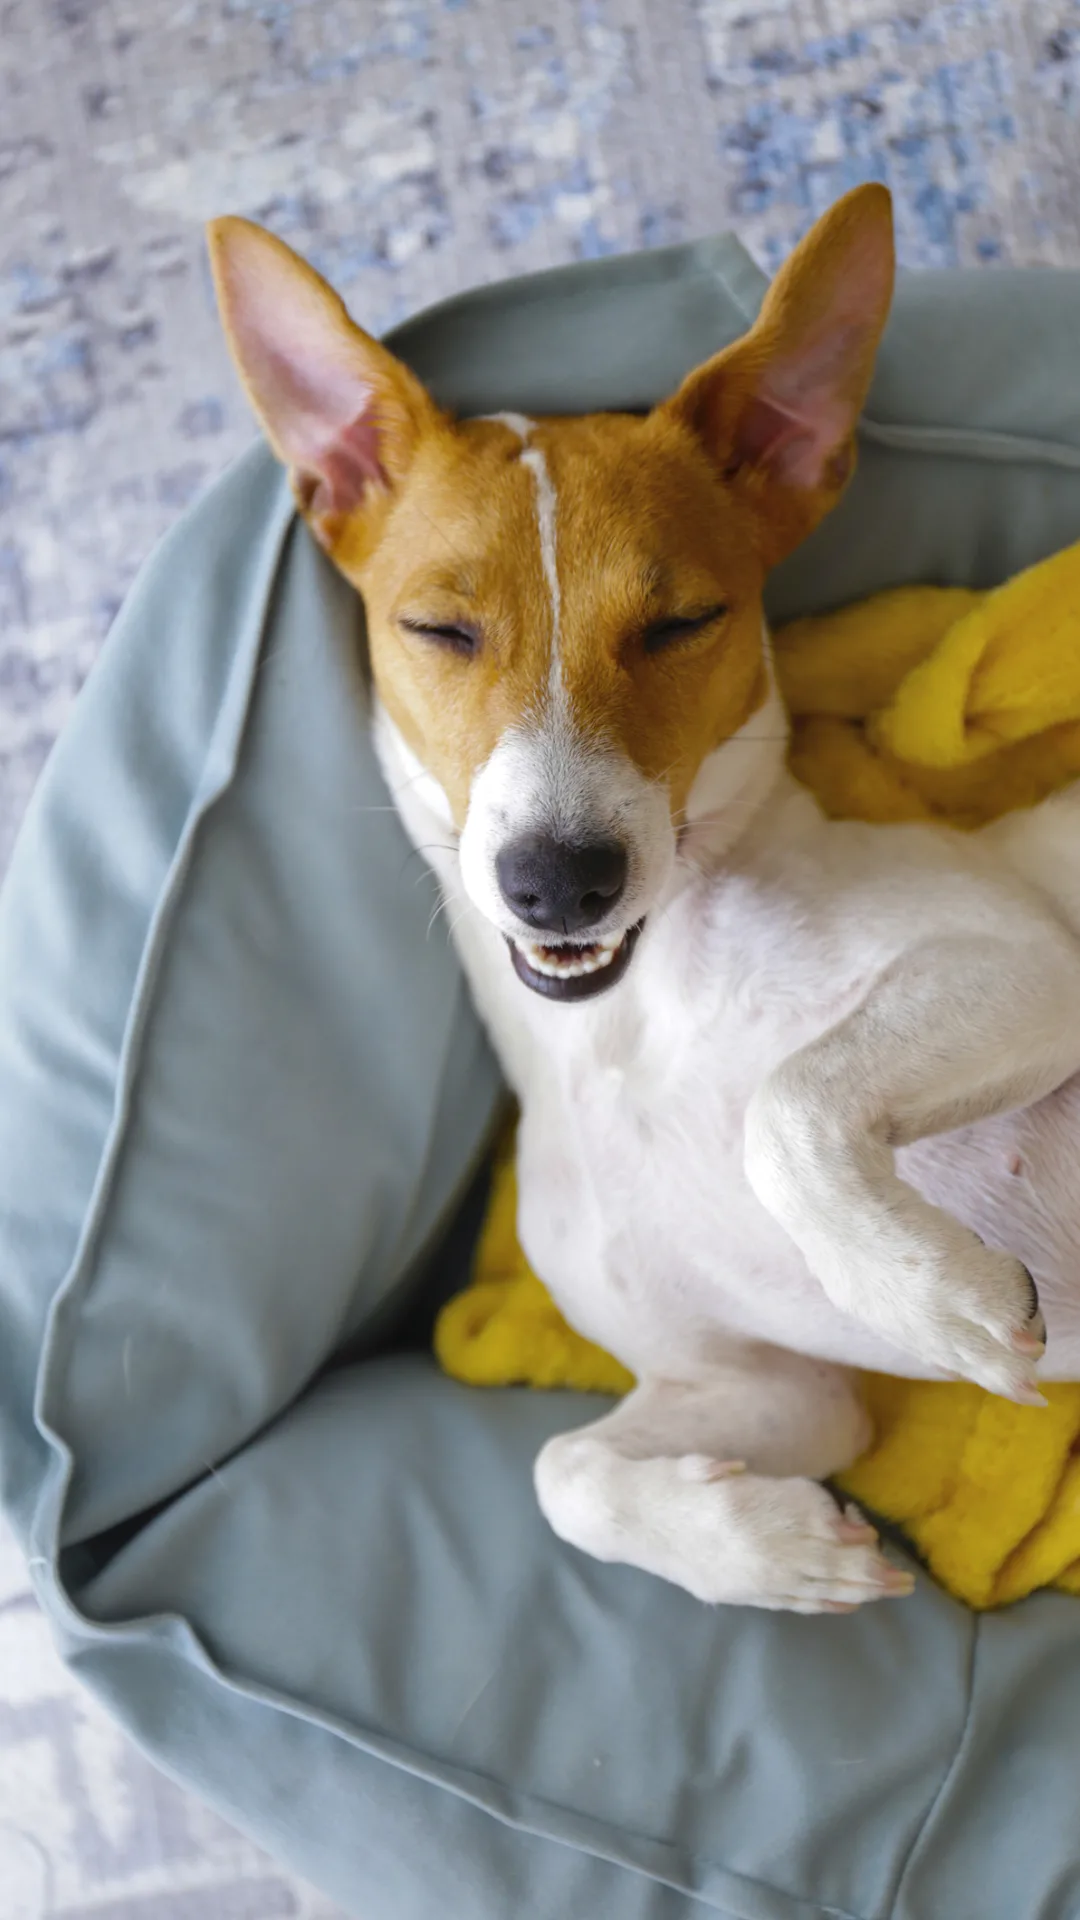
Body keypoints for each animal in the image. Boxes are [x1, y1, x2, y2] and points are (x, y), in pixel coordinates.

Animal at [208, 187, 1076, 1612]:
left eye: (682, 623)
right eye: (439, 631)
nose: (561, 880)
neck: (627, 1029)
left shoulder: (1020, 960)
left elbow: (789, 1104)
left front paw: (924, 1295)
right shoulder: (769, 1386)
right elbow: (567, 1474)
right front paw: (772, 1553)